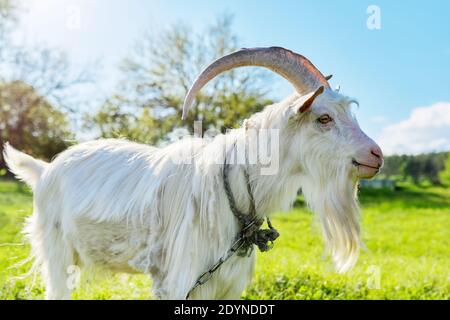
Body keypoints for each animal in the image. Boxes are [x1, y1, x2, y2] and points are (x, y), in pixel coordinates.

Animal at [3, 46, 384, 298]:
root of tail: (45, 169)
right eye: (324, 118)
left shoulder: (226, 283)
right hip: (57, 253)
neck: (236, 186)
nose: (376, 154)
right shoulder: (181, 281)